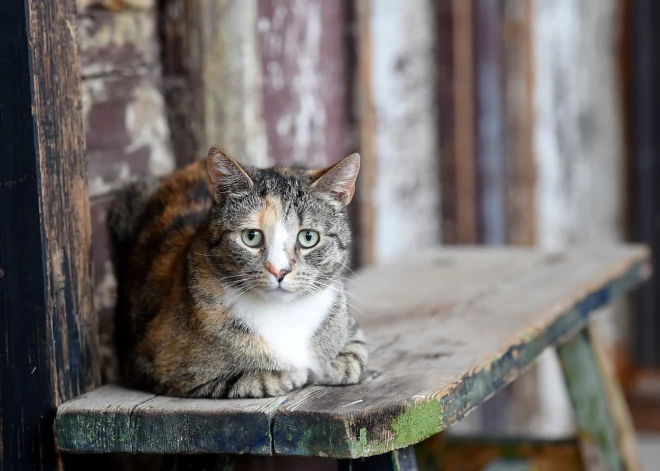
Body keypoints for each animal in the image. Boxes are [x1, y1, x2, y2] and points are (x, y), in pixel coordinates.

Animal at [107, 148, 366, 398]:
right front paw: (294, 373)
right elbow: (254, 379)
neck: (283, 312)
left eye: (308, 237)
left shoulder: (351, 327)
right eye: (251, 237)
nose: (279, 270)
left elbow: (355, 356)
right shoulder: (156, 364)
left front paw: (330, 365)